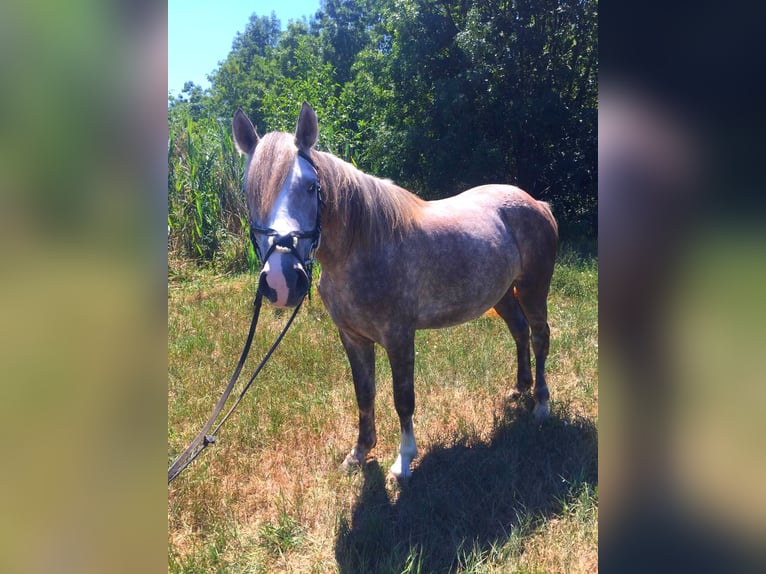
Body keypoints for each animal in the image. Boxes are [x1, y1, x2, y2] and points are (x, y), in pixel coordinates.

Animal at [232, 102, 560, 482]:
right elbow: (364, 393)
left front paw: (403, 461)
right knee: (519, 332)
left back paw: (541, 405)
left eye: (312, 187)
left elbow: (403, 398)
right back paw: (519, 390)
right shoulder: (353, 337)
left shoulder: (399, 336)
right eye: (249, 192)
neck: (362, 246)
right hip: (503, 293)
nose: (282, 281)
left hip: (534, 288)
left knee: (539, 336)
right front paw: (359, 453)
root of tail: (537, 203)